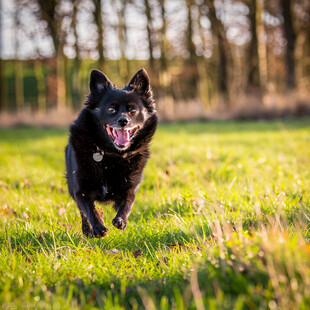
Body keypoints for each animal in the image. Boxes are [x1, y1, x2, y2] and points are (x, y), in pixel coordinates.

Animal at [65, 68, 157, 237]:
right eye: (110, 109)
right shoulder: (80, 190)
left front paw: (120, 220)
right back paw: (87, 230)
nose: (123, 121)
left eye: (133, 110)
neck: (110, 154)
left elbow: (128, 202)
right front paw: (97, 227)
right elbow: (89, 209)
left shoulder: (130, 188)